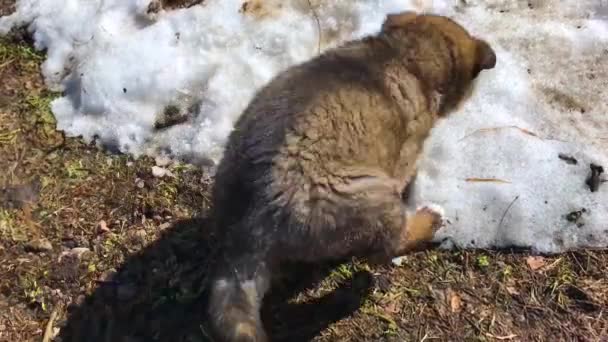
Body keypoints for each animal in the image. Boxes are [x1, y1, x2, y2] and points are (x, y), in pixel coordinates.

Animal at [207, 10, 496, 342]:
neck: (404, 55)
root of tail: (247, 231)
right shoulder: (404, 156)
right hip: (373, 199)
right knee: (386, 247)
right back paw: (428, 219)